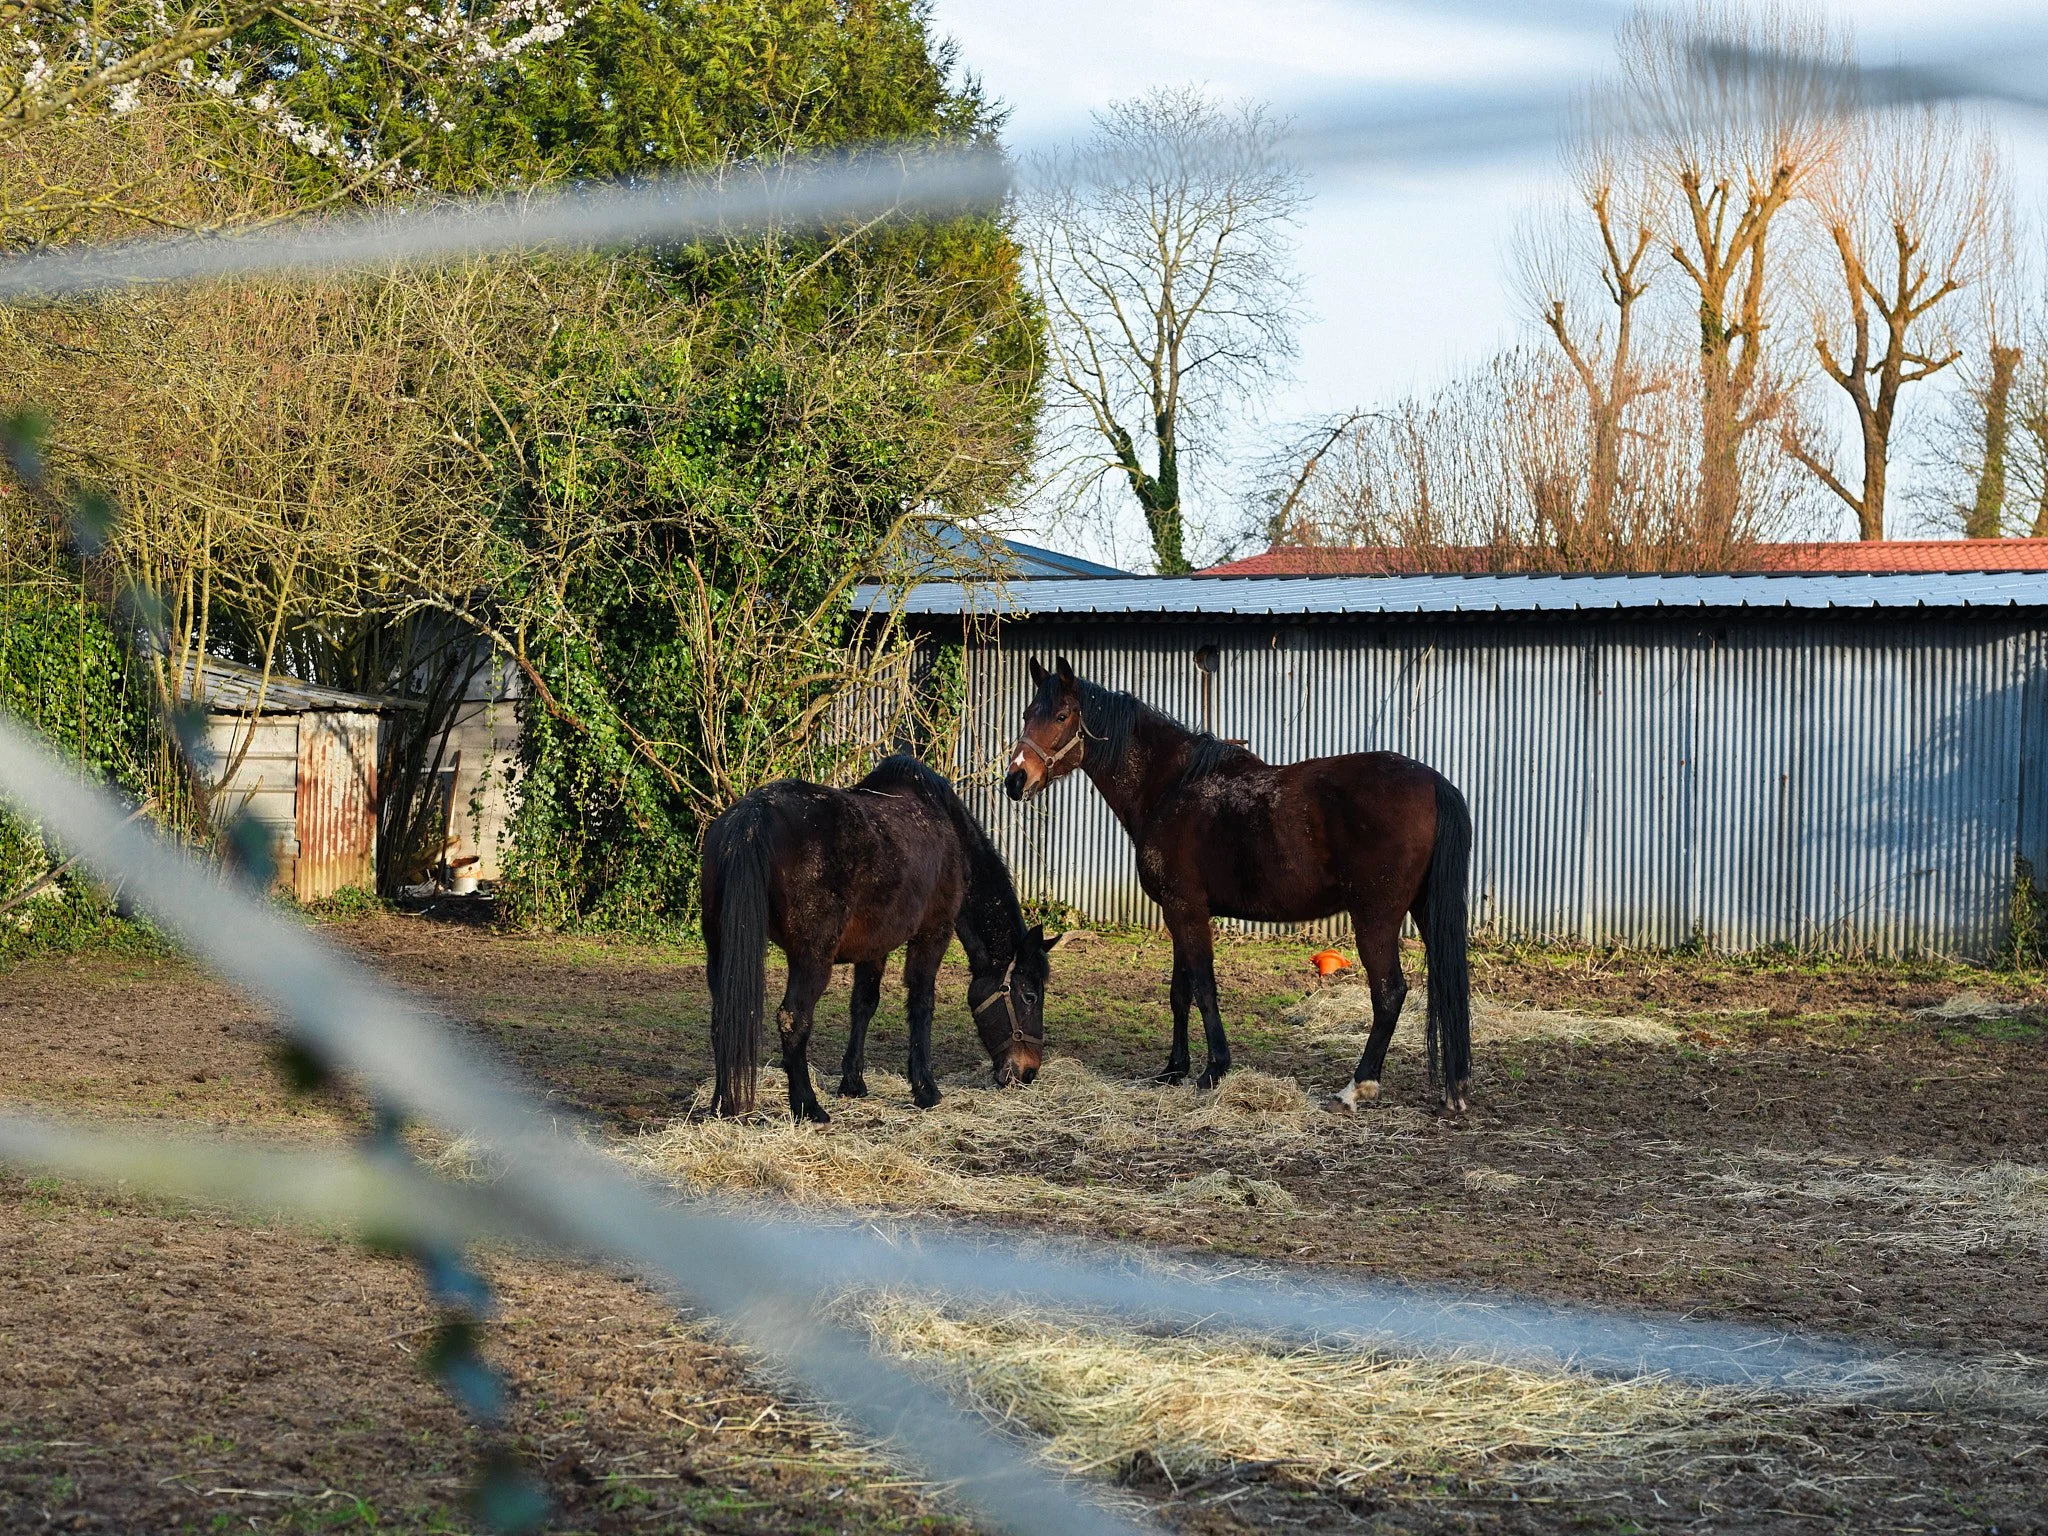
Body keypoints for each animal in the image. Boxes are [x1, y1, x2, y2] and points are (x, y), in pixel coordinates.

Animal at [701, 754, 1063, 1122]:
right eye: (1030, 995)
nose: (1028, 1071)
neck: (951, 835)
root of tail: (753, 815)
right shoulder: (933, 934)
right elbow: (921, 1005)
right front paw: (926, 1089)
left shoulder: (874, 946)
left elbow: (864, 1004)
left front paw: (853, 1083)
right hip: (811, 957)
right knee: (793, 1019)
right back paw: (809, 1107)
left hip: (720, 949)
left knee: (722, 1019)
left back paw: (722, 1105)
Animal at [1003, 656, 1474, 1112]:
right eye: (1027, 714)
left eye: (1061, 715)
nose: (1015, 780)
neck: (1170, 786)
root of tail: (1435, 784)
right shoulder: (1180, 910)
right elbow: (1180, 992)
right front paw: (1174, 1069)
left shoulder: (1185, 910)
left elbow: (1204, 988)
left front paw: (1214, 1069)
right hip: (1424, 910)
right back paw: (1454, 1091)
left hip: (1375, 918)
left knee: (1389, 993)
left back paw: (1356, 1088)